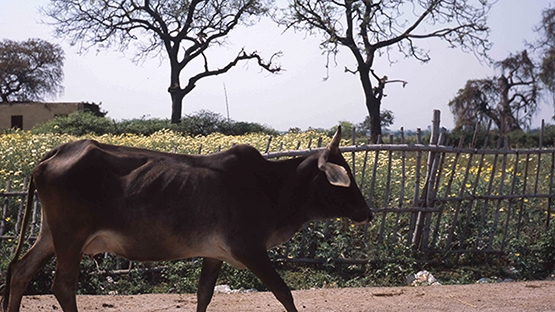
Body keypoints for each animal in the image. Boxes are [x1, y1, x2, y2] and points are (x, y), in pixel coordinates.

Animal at [3, 125, 374, 310]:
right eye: (344, 178)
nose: (366, 212)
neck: (271, 187)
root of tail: (57, 151)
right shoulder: (250, 250)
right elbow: (284, 293)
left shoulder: (214, 254)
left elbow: (203, 295)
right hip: (70, 237)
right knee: (62, 286)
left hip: (51, 235)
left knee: (20, 270)